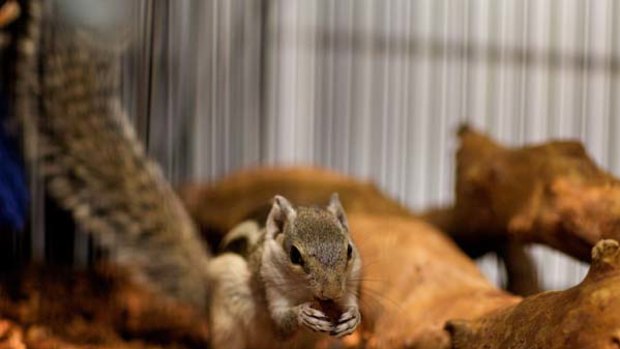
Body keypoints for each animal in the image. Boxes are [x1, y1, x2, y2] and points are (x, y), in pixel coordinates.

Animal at [208, 193, 364, 348]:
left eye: (350, 250)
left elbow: (350, 302)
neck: (305, 293)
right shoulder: (271, 283)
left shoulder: (351, 283)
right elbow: (280, 319)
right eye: (294, 255)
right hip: (227, 327)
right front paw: (302, 314)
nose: (332, 293)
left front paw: (353, 316)